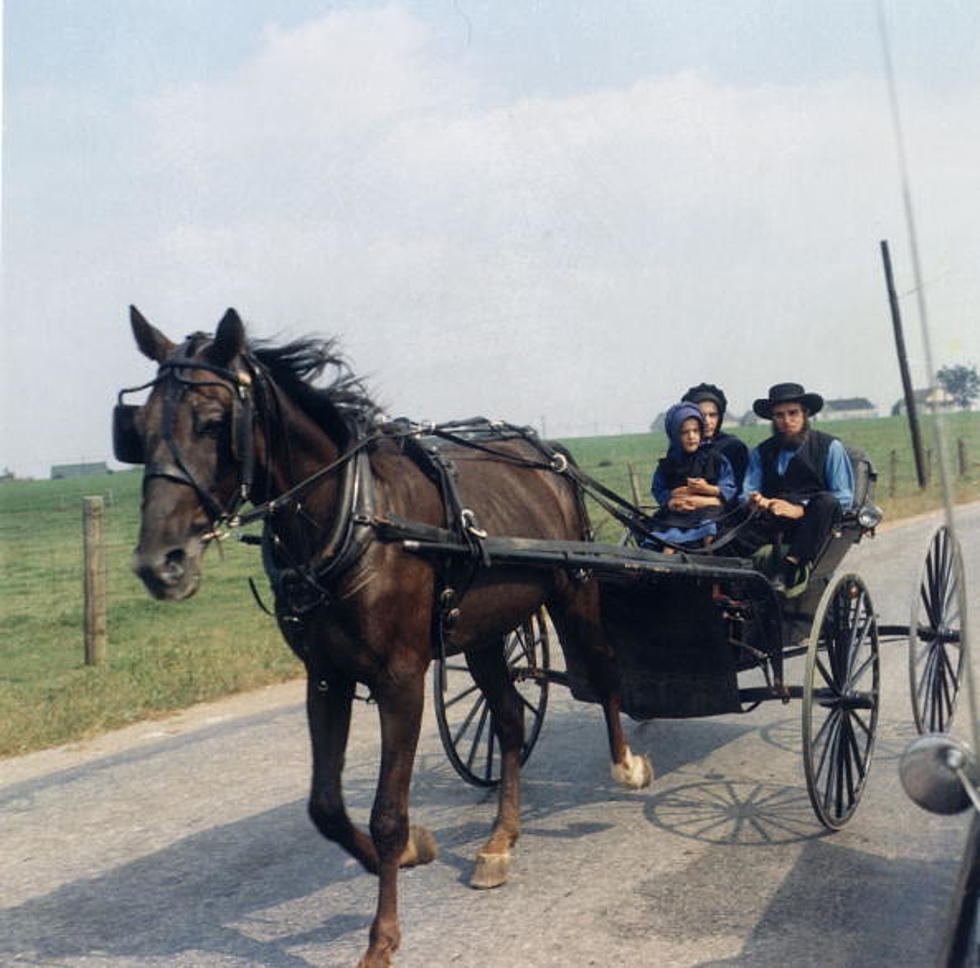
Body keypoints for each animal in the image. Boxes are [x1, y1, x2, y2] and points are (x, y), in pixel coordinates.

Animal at [118, 308, 652, 968]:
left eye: (214, 422)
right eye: (136, 430)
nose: (158, 563)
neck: (354, 518)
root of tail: (546, 454)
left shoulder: (400, 680)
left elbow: (387, 814)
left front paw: (382, 937)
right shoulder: (326, 675)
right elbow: (325, 807)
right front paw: (411, 853)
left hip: (572, 590)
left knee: (602, 669)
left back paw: (626, 764)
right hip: (483, 631)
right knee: (507, 719)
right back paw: (500, 840)